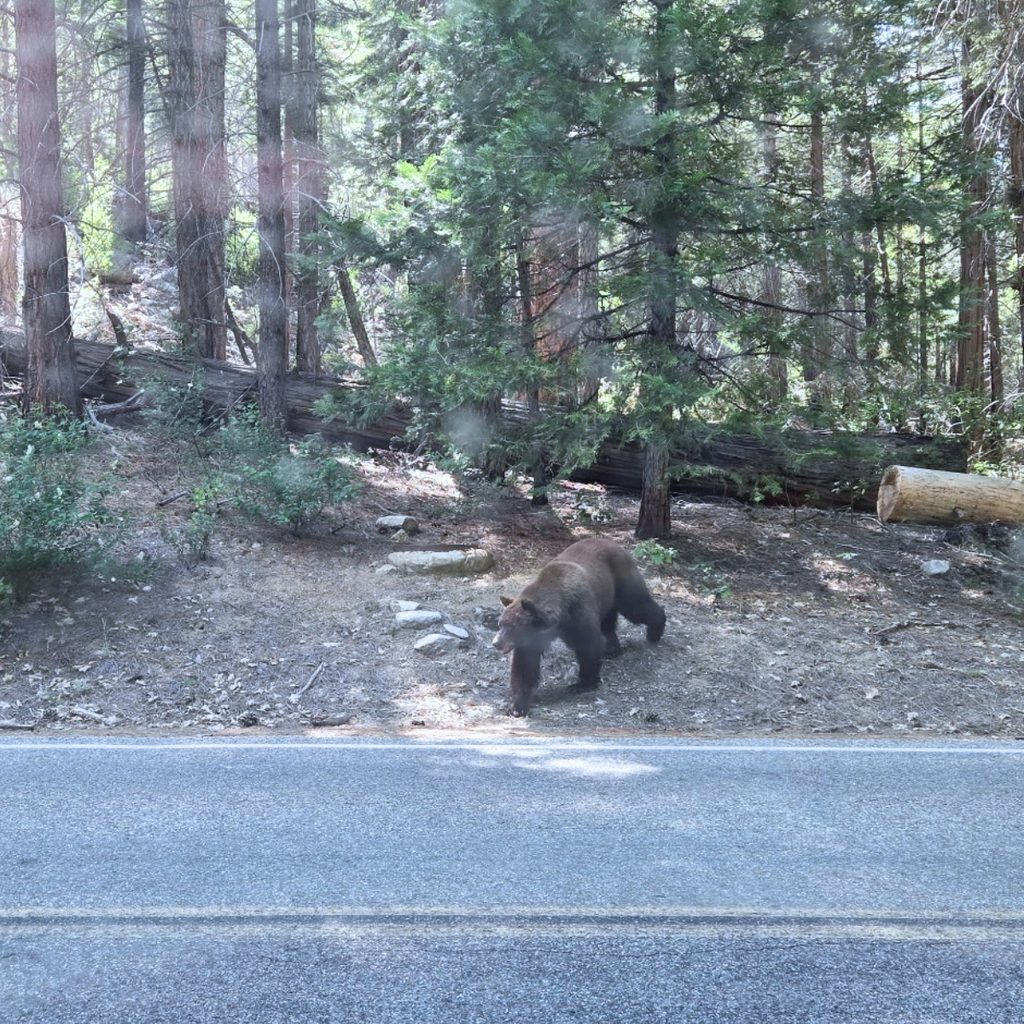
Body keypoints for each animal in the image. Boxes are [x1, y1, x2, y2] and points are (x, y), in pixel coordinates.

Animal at [492, 537, 666, 716]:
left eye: (512, 627)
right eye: (500, 624)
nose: (496, 642)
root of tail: (615, 543)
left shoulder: (578, 613)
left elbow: (589, 643)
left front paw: (582, 684)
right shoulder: (534, 637)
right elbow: (524, 665)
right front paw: (517, 705)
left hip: (621, 580)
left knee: (636, 606)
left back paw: (655, 631)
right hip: (605, 596)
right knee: (608, 624)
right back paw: (612, 649)